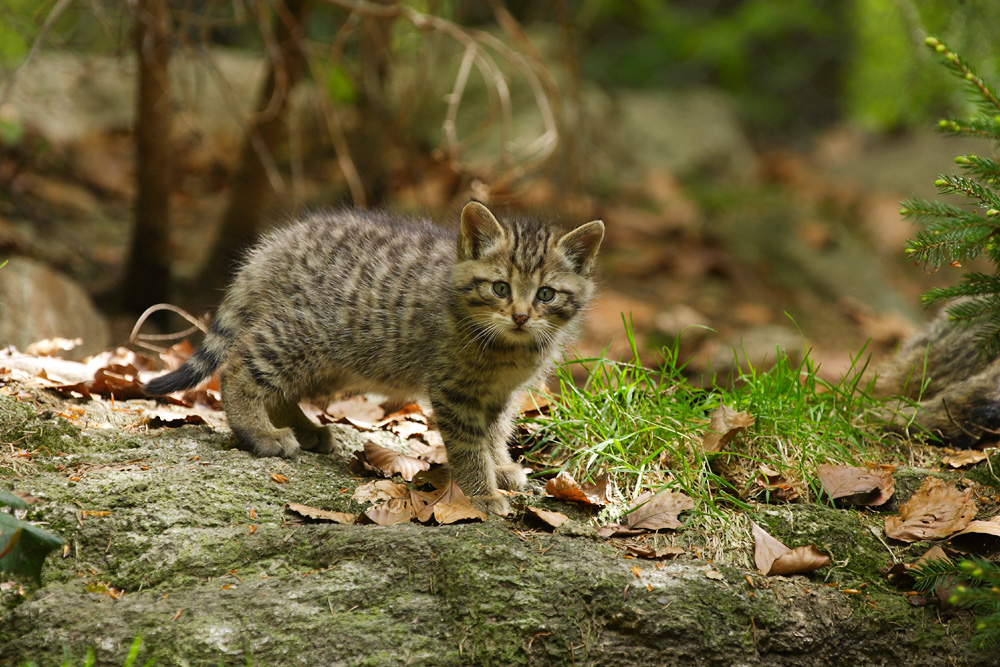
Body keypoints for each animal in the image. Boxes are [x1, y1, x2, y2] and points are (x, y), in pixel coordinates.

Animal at [145, 202, 604, 516]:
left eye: (546, 294)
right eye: (500, 288)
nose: (521, 316)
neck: (509, 347)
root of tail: (273, 248)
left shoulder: (500, 394)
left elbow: (494, 432)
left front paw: (501, 467)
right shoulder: (453, 389)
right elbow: (469, 444)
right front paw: (481, 492)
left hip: (334, 360)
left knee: (279, 386)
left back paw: (303, 429)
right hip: (306, 332)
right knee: (241, 363)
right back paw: (261, 433)